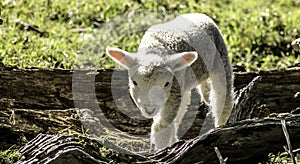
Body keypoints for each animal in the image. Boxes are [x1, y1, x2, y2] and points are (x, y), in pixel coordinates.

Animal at [106, 13, 234, 151]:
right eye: (134, 82)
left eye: (166, 83)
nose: (149, 110)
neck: (155, 50)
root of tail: (200, 15)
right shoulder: (176, 88)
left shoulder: (174, 90)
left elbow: (161, 126)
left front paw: (162, 148)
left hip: (221, 57)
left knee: (223, 96)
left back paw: (221, 124)